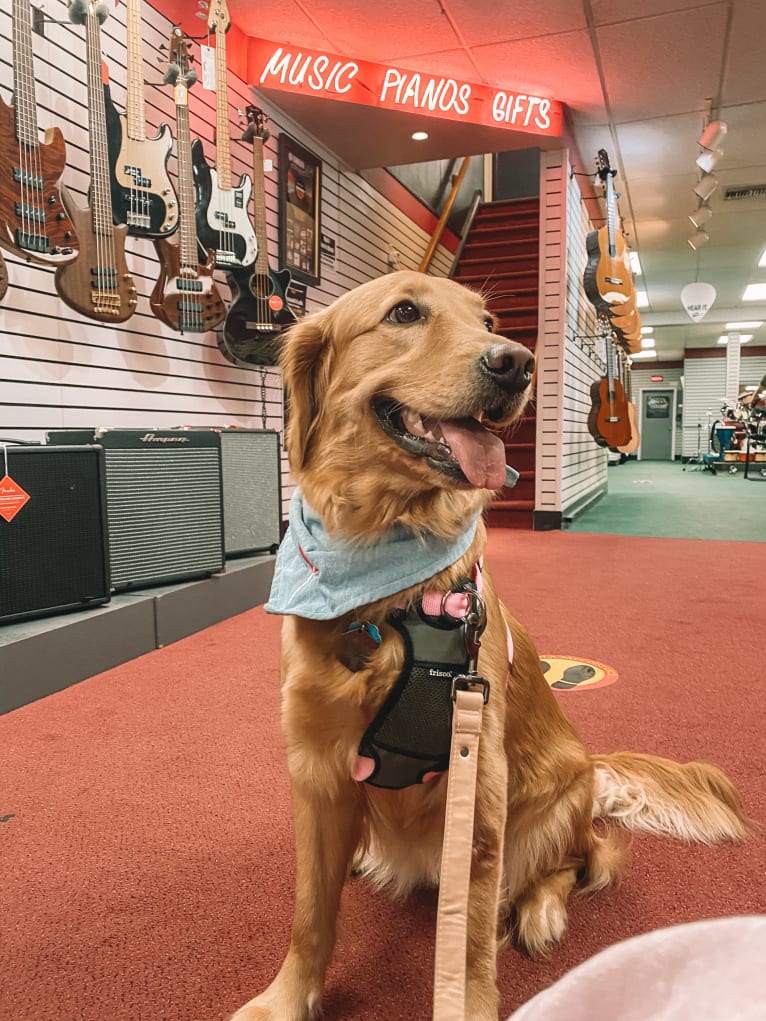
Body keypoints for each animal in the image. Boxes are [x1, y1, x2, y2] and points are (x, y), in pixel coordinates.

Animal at [232, 271, 751, 1021]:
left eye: (488, 322)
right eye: (404, 313)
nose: (518, 363)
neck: (379, 581)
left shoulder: (478, 774)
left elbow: (472, 925)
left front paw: (469, 1000)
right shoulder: (316, 768)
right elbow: (310, 912)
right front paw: (286, 998)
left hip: (554, 801)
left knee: (583, 861)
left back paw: (541, 911)